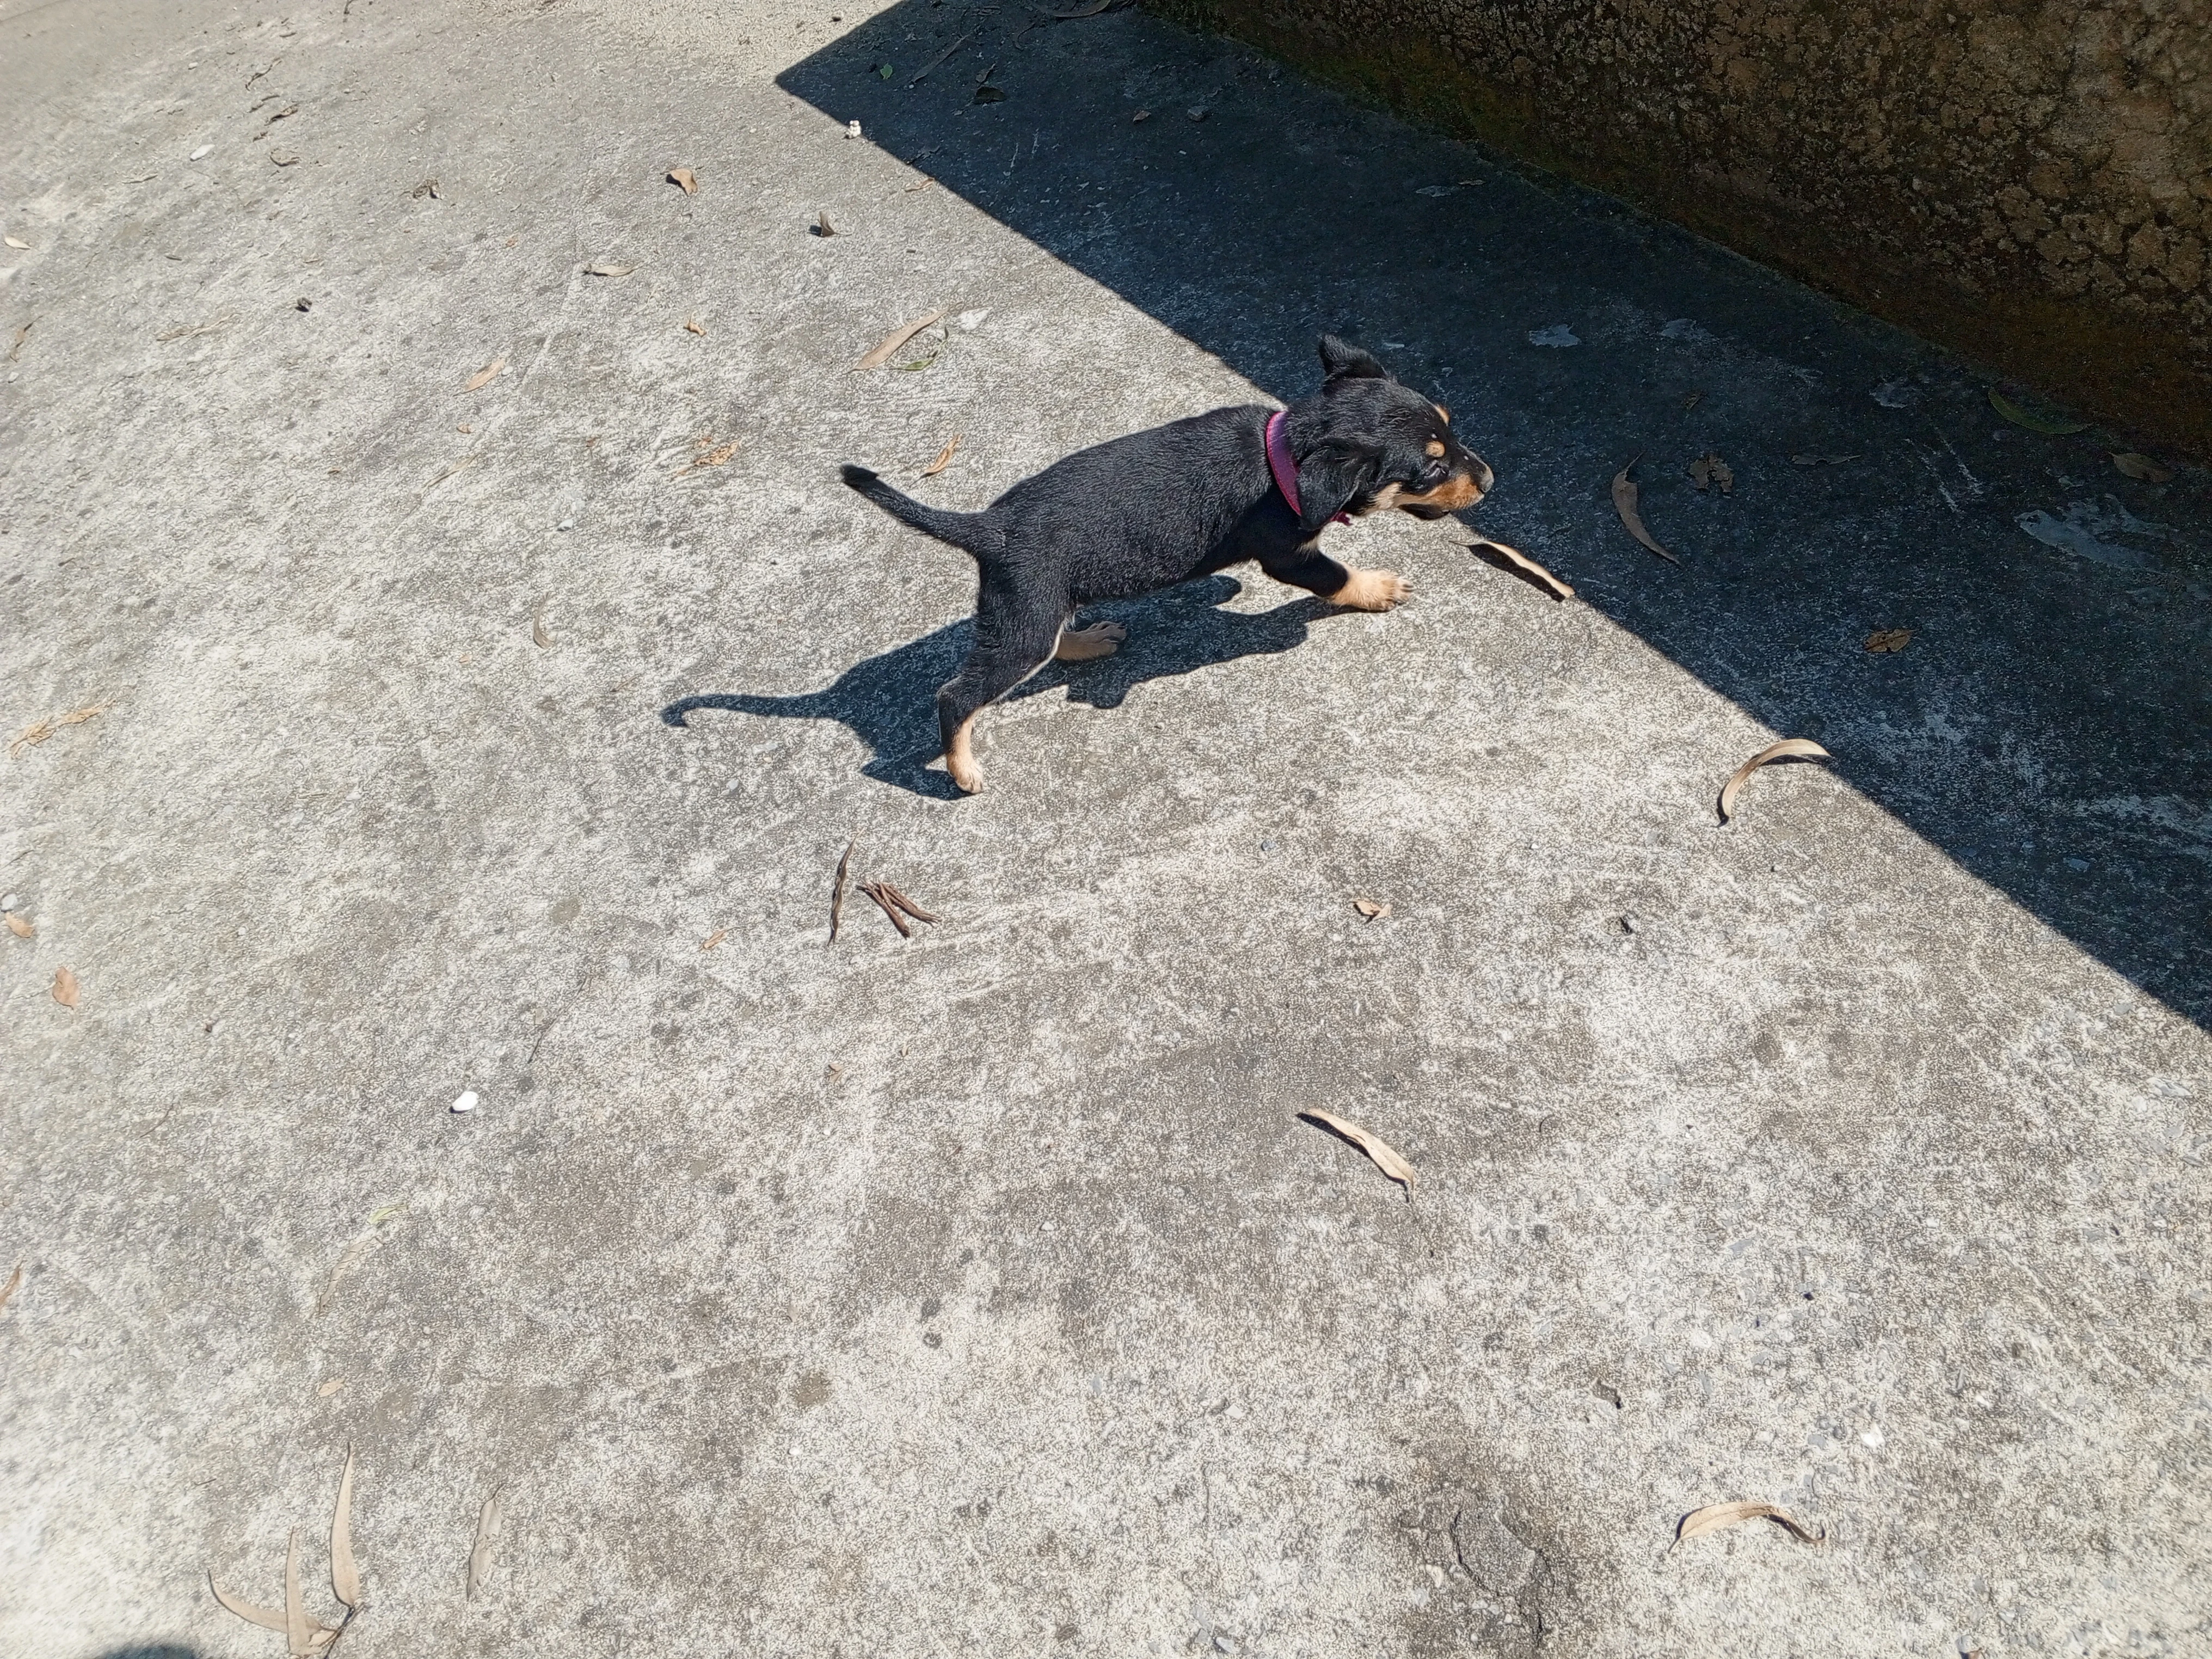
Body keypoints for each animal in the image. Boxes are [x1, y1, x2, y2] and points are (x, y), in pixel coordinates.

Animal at [836, 334, 1495, 796]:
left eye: (1450, 427)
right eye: (1431, 469)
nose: (1489, 479)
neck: (1284, 453)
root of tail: (988, 528)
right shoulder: (1289, 556)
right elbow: (1336, 578)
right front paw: (1376, 587)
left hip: (1036, 611)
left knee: (1054, 637)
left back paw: (1088, 640)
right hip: (1021, 626)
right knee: (956, 696)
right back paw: (962, 769)